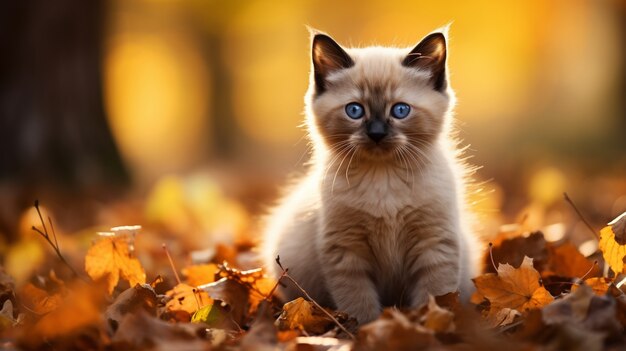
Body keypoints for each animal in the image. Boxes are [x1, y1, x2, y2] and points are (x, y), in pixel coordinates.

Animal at [260, 27, 476, 324]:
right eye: (355, 110)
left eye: (400, 110)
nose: (376, 133)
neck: (383, 178)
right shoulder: (345, 252)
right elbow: (359, 305)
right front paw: (367, 330)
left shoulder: (434, 244)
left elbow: (435, 296)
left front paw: (427, 325)